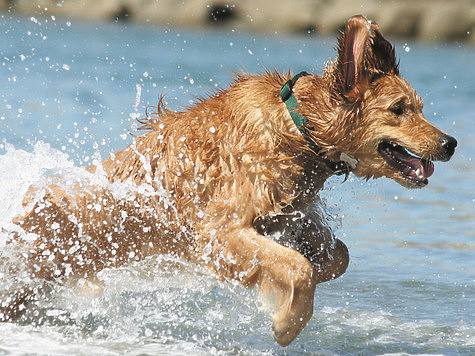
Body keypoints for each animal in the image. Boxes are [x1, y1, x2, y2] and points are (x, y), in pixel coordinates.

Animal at [0, 15, 458, 346]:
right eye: (399, 109)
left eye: (419, 107)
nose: (450, 143)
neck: (295, 128)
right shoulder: (220, 229)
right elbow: (297, 268)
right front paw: (287, 322)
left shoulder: (288, 214)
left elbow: (337, 255)